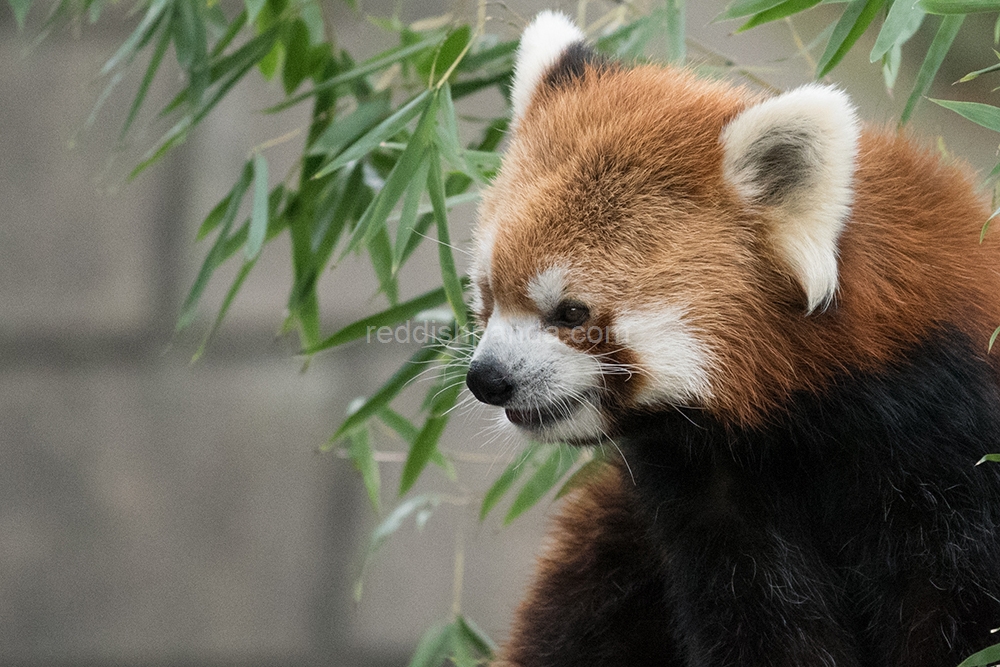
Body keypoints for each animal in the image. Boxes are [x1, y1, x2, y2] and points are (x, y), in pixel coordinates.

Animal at [468, 10, 1000, 667]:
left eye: (571, 312)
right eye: (488, 293)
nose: (487, 379)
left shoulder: (949, 445)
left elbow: (956, 611)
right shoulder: (711, 498)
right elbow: (760, 619)